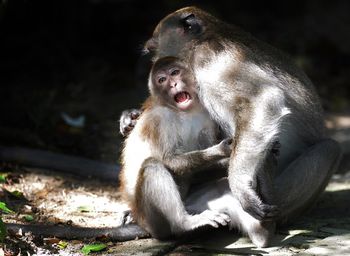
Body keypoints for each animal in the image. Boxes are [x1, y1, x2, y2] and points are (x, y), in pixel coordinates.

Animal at [119, 56, 231, 238]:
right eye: (162, 80)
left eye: (174, 73)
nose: (173, 85)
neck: (185, 112)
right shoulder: (160, 119)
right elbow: (169, 161)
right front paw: (221, 150)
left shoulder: (207, 116)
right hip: (150, 218)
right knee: (152, 165)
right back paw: (184, 224)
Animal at [129, 7, 342, 225]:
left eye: (153, 51)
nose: (155, 65)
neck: (206, 36)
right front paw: (130, 118)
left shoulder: (210, 59)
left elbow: (263, 99)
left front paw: (241, 187)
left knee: (329, 149)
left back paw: (271, 192)